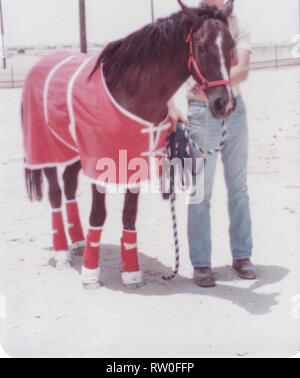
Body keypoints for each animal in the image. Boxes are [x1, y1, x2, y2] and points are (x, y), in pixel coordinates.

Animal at [21, 0, 237, 290]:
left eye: (231, 45)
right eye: (201, 46)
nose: (224, 104)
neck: (129, 91)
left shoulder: (135, 159)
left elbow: (129, 215)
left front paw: (131, 272)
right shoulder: (99, 162)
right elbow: (98, 215)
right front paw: (91, 273)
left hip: (75, 153)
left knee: (68, 187)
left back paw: (77, 242)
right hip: (49, 150)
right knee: (55, 194)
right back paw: (63, 253)